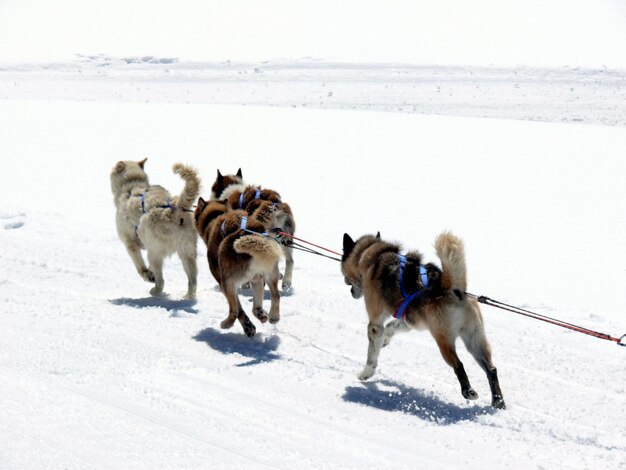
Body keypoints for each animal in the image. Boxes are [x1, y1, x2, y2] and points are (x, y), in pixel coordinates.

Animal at [195, 198, 282, 338]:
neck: (216, 216)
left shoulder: (225, 283)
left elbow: (240, 309)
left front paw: (247, 326)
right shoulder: (256, 279)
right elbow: (256, 307)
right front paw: (259, 316)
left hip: (227, 282)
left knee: (234, 311)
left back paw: (226, 324)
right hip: (268, 274)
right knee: (275, 296)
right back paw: (273, 316)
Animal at [338, 233, 504, 410]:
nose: (351, 292)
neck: (375, 256)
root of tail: (453, 290)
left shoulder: (375, 324)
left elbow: (371, 355)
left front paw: (365, 374)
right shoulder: (409, 320)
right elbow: (391, 327)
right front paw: (385, 340)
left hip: (444, 341)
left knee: (459, 365)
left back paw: (468, 391)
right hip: (475, 340)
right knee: (491, 369)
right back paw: (498, 401)